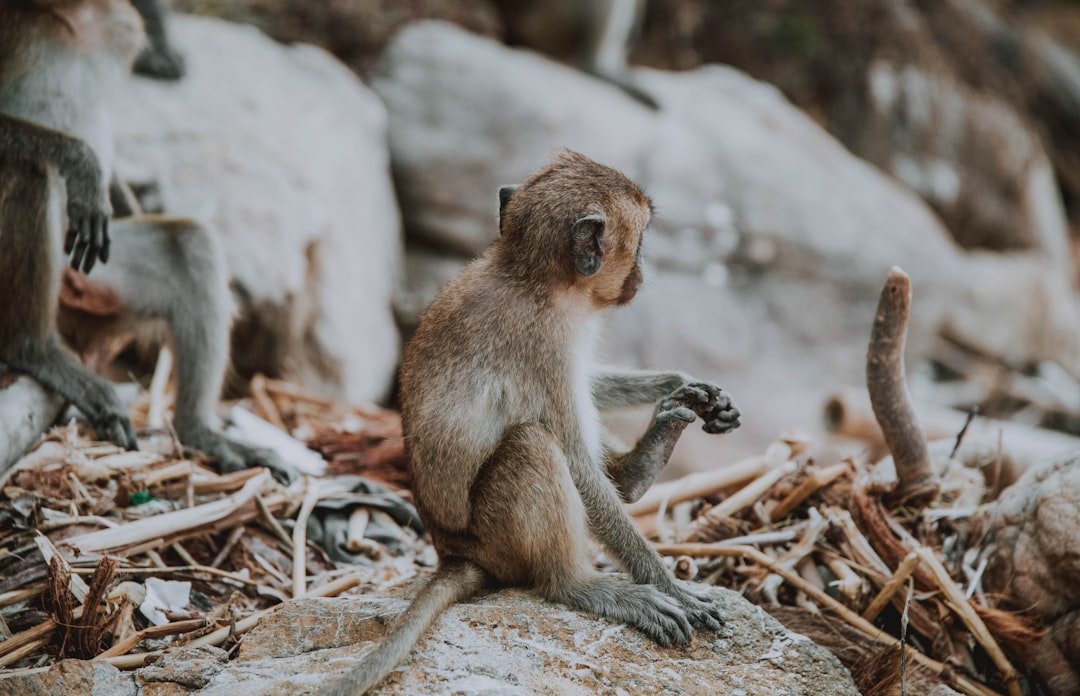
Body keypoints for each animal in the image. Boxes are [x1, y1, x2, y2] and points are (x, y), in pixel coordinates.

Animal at [0, 0, 293, 481]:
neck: (70, 20)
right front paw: (80, 162)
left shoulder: (120, 28)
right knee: (30, 172)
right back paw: (33, 348)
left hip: (95, 286)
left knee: (191, 245)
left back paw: (199, 431)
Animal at [319, 151, 740, 695]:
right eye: (642, 242)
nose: (642, 274)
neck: (535, 278)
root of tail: (454, 553)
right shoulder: (542, 344)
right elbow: (577, 464)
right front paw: (668, 585)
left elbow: (588, 388)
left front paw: (685, 384)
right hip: (498, 538)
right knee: (533, 444)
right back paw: (579, 581)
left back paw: (639, 464)